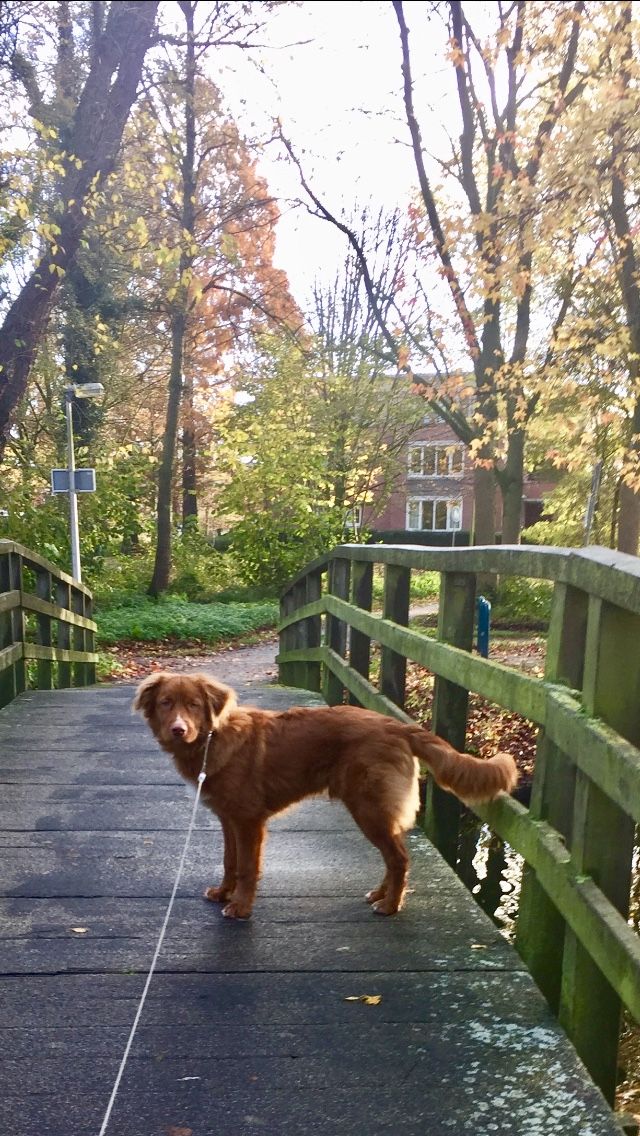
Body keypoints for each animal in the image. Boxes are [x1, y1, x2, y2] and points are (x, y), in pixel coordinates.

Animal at [133, 667, 518, 917]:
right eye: (166, 703)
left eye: (194, 705)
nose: (178, 730)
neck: (213, 740)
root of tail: (396, 724)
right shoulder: (229, 820)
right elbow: (230, 862)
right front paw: (223, 893)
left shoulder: (249, 821)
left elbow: (246, 867)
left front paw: (241, 906)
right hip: (374, 811)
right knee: (394, 857)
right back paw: (381, 894)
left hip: (368, 808)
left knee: (399, 858)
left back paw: (390, 906)